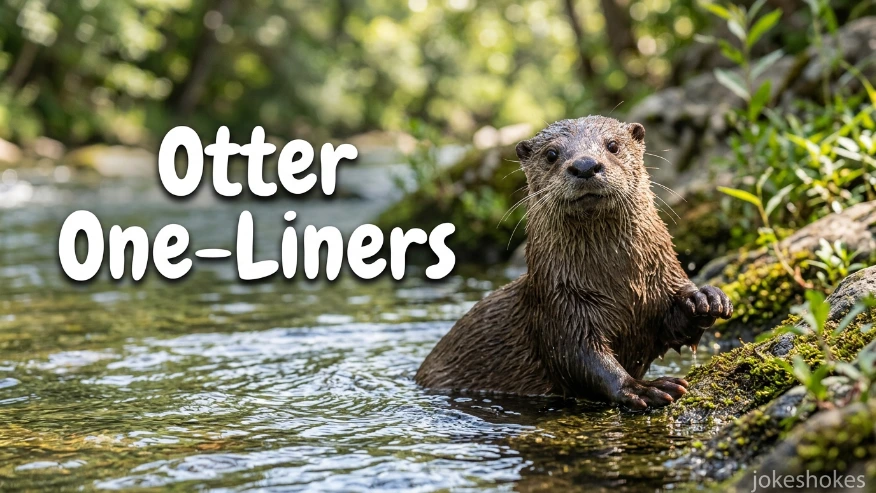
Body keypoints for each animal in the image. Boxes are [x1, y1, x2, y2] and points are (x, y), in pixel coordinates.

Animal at [415, 116, 733, 410]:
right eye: (552, 154)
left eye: (613, 145)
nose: (585, 165)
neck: (619, 284)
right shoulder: (559, 306)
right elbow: (579, 358)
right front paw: (644, 388)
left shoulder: (661, 280)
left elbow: (676, 328)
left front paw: (705, 297)